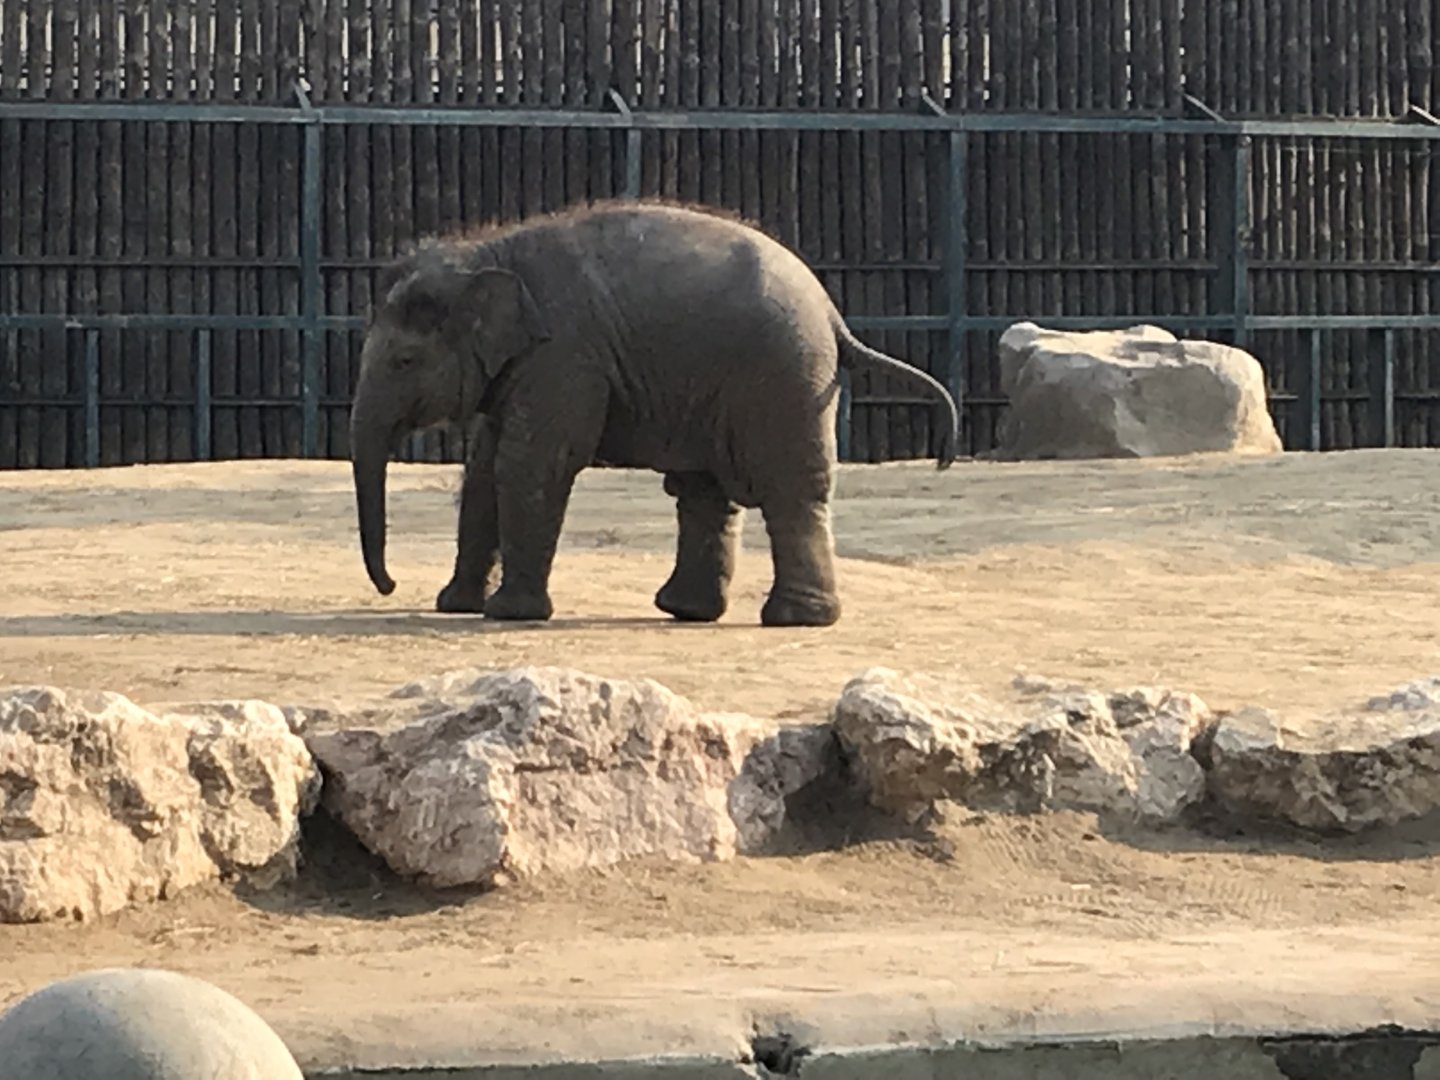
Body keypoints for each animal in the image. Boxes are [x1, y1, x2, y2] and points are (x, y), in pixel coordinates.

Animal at [349, 199, 960, 628]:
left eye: (404, 361)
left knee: (788, 490)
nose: (390, 587)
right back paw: (685, 610)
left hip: (783, 380)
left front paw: (507, 613)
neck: (486, 252)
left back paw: (793, 619)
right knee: (704, 491)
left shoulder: (565, 356)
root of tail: (835, 316)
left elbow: (530, 465)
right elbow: (482, 470)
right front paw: (454, 605)